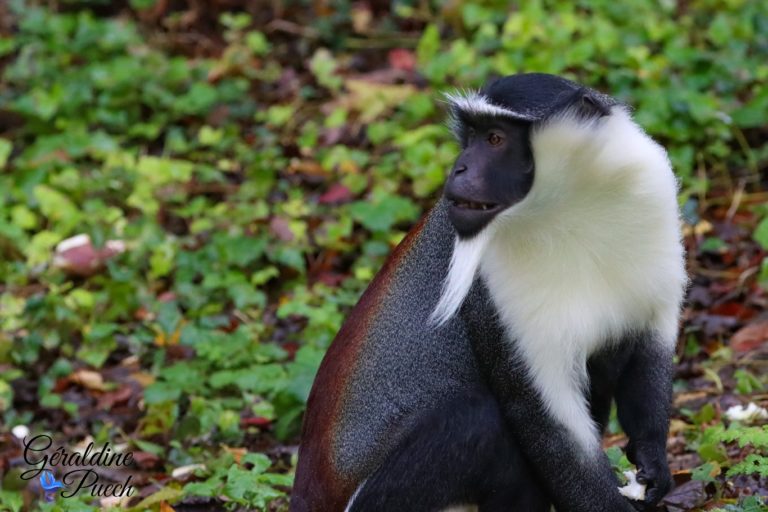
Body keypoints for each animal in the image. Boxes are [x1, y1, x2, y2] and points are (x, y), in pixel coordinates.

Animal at [292, 73, 688, 512]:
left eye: (495, 139)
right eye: (470, 138)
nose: (458, 168)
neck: (571, 206)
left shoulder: (648, 198)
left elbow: (646, 351)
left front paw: (653, 465)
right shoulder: (493, 290)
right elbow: (545, 424)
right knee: (485, 422)